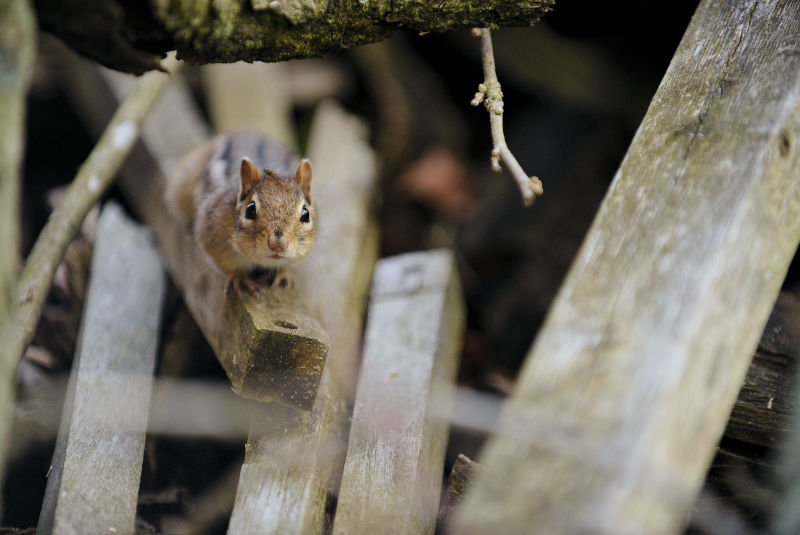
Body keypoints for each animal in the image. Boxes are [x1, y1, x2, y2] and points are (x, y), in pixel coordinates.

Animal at [165, 131, 316, 296]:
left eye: (306, 214)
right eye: (250, 210)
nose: (278, 246)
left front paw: (283, 275)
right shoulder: (211, 231)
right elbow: (226, 263)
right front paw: (240, 279)